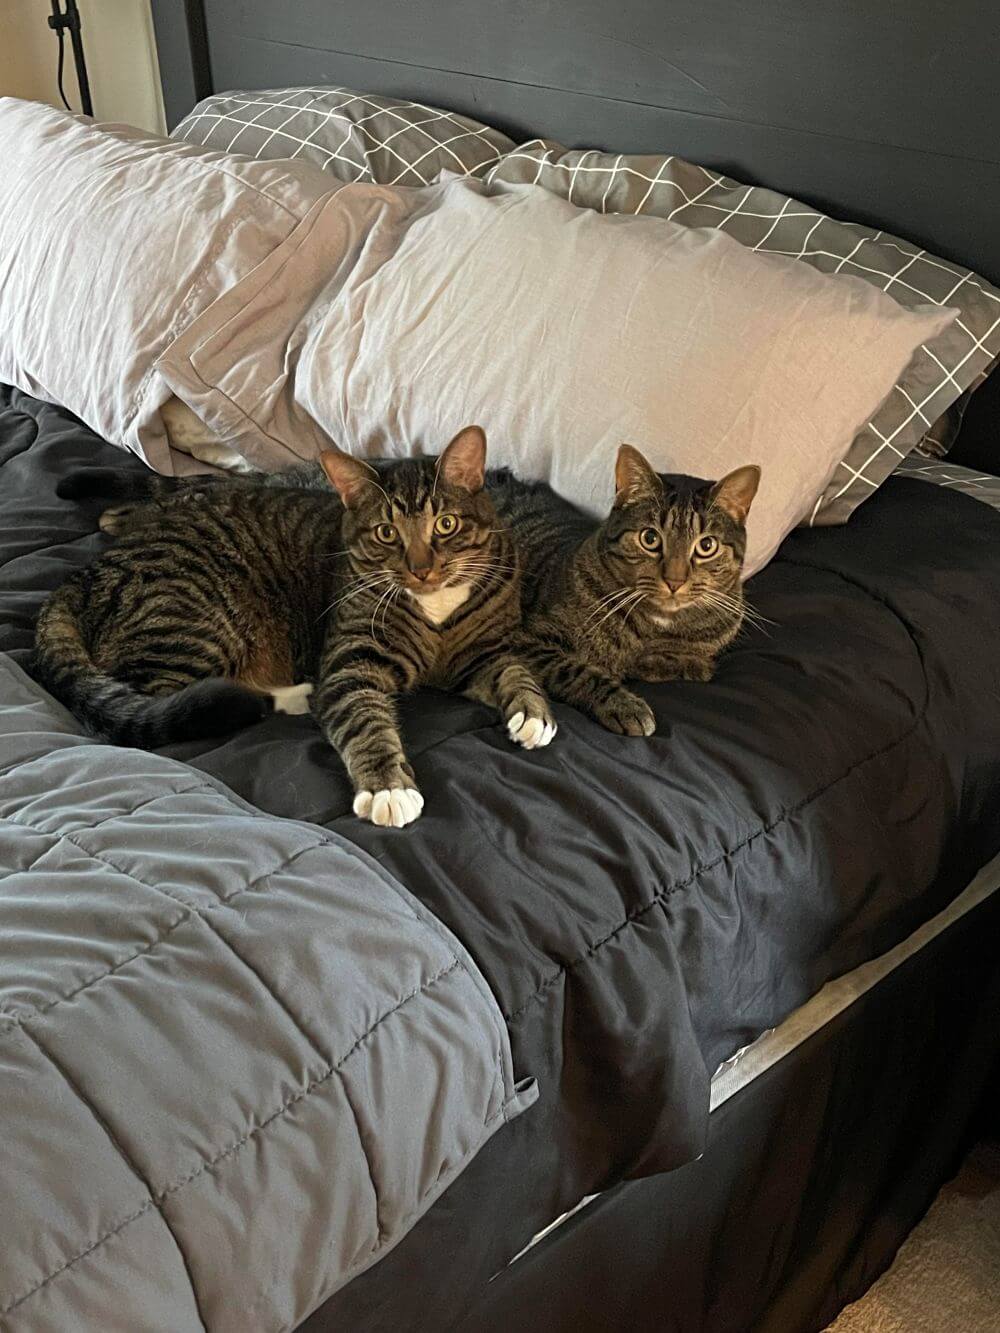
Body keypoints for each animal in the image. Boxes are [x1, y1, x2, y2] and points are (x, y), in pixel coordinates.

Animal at [34, 427, 555, 827]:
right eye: (387, 533)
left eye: (445, 524)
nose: (422, 569)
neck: (435, 608)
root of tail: (89, 571)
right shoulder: (350, 664)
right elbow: (365, 720)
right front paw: (387, 789)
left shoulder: (483, 652)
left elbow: (514, 670)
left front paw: (532, 712)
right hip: (197, 622)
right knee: (169, 702)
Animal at [489, 444, 761, 737]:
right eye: (650, 539)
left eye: (707, 546)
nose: (674, 581)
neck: (656, 625)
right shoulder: (523, 638)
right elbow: (575, 669)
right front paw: (624, 704)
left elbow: (686, 663)